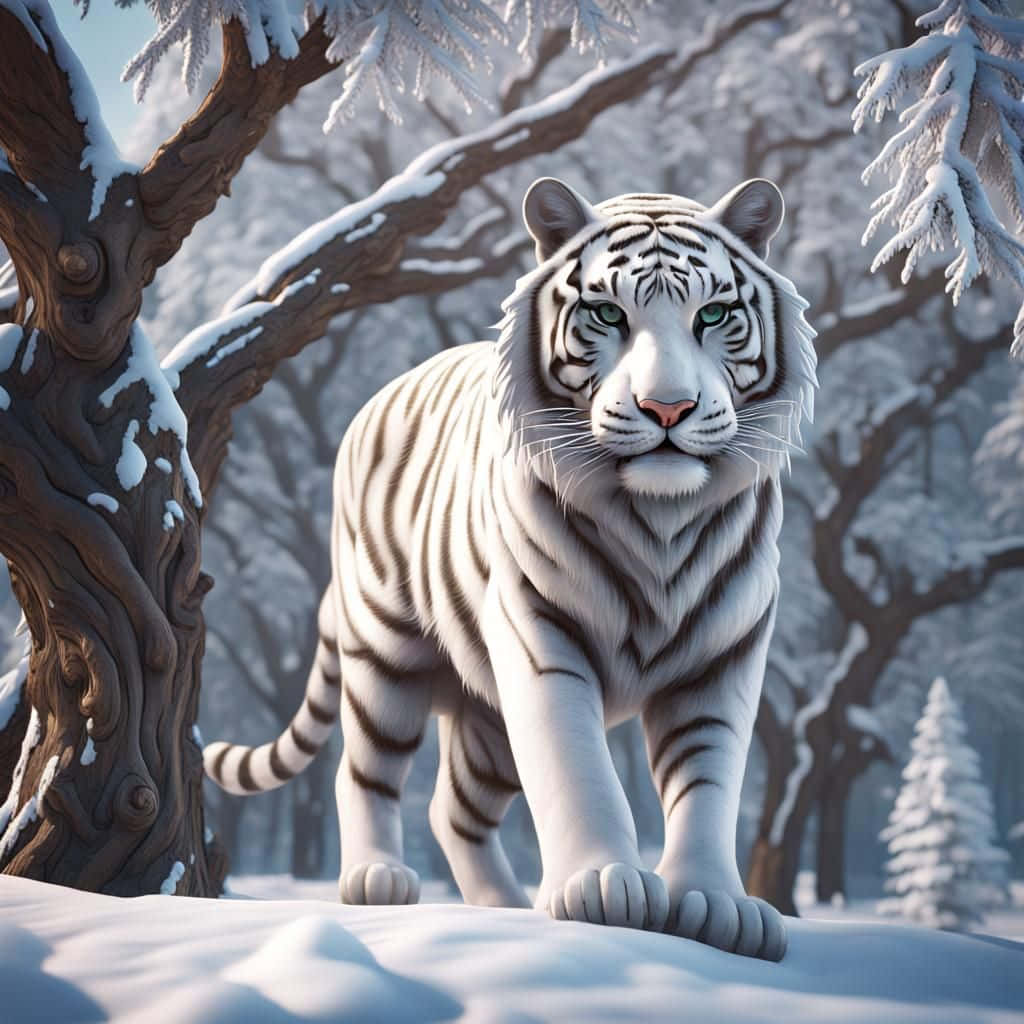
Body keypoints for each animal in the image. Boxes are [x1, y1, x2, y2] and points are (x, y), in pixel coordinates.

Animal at [204, 176, 816, 962]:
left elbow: (708, 781)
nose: (667, 408)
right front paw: (603, 889)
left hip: (486, 717)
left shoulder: (724, 654)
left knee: (453, 808)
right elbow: (576, 766)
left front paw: (715, 905)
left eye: (713, 314)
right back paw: (377, 878)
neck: (660, 523)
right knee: (363, 769)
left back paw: (503, 907)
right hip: (385, 655)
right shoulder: (541, 635)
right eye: (608, 313)